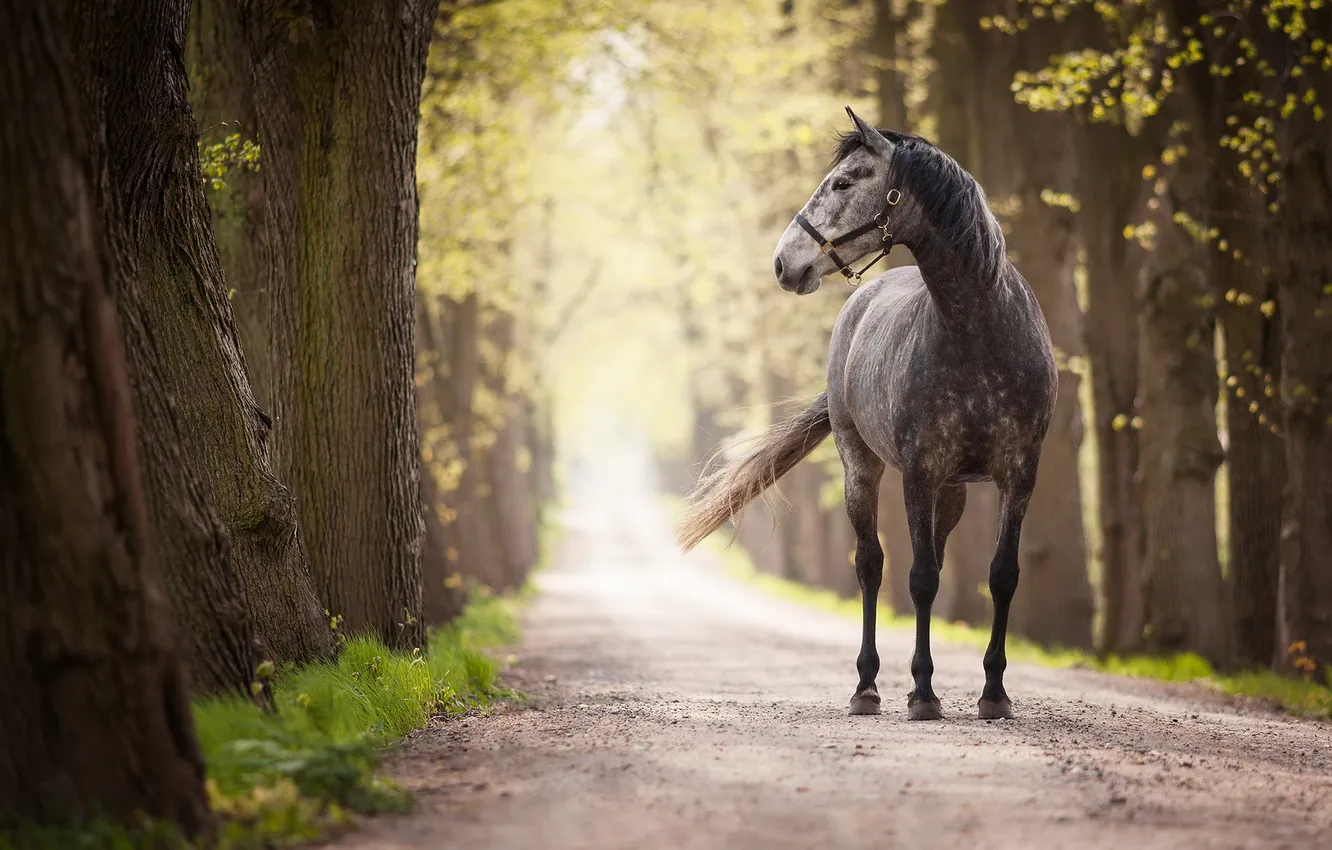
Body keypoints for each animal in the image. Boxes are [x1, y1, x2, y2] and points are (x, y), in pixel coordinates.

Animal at [677, 107, 1058, 721]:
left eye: (843, 182)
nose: (782, 263)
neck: (981, 334)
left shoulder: (1019, 475)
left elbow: (1001, 577)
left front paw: (994, 692)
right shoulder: (918, 473)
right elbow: (918, 578)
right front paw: (924, 693)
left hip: (952, 491)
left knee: (934, 558)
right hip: (863, 468)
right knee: (871, 565)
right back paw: (868, 686)